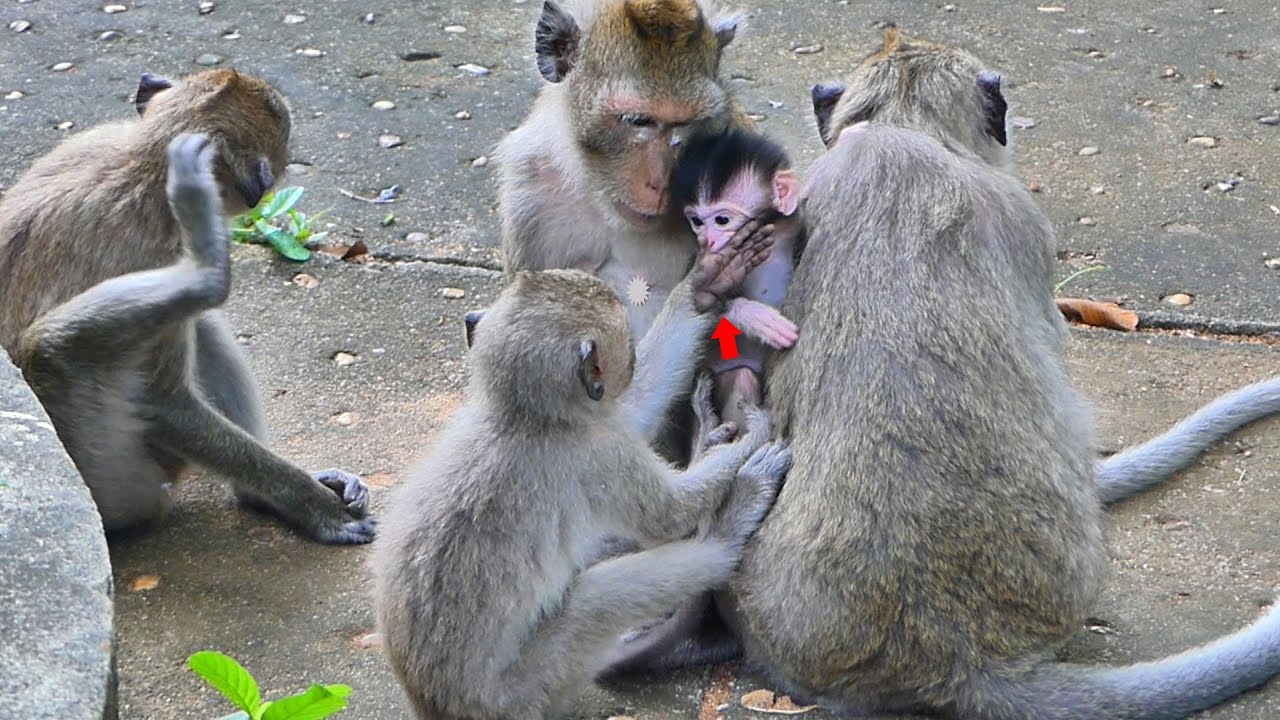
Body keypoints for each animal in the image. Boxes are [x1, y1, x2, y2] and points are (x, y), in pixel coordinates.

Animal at [0, 70, 374, 544]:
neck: (144, 167)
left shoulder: (91, 140)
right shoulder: (159, 248)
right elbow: (164, 404)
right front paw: (315, 505)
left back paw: (255, 495)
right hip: (120, 486)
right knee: (54, 350)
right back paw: (206, 276)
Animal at [372, 269, 791, 720]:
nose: (631, 359)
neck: (522, 417)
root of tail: (434, 706)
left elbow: (637, 409)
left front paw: (704, 293)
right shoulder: (596, 452)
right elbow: (669, 516)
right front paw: (755, 436)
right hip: (527, 690)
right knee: (594, 601)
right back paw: (725, 534)